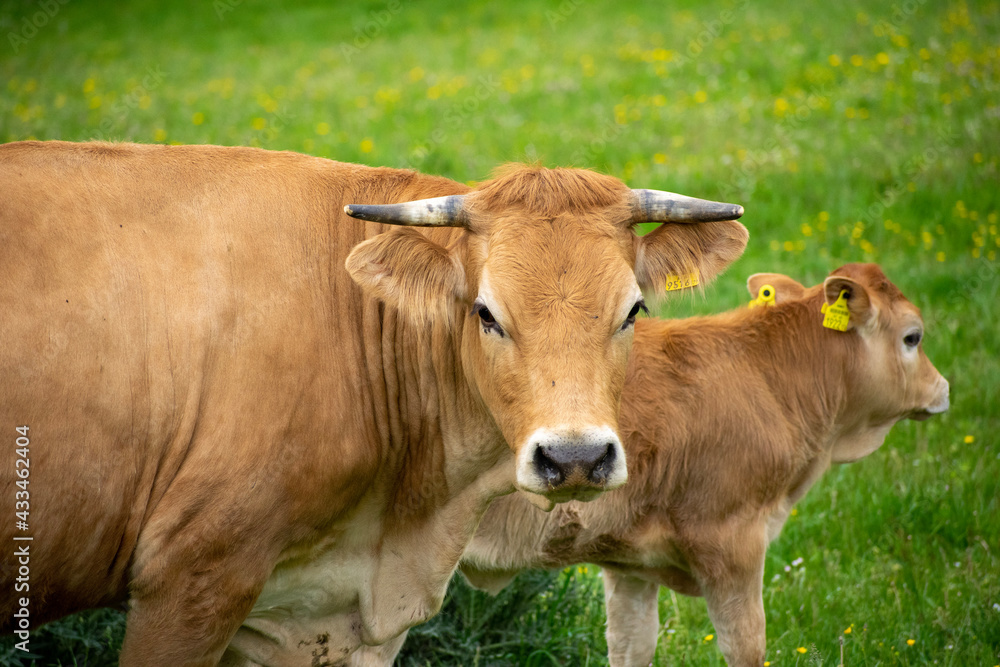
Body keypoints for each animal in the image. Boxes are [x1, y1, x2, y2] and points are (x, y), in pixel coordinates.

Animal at [358, 264, 944, 667]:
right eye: (913, 337)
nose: (943, 389)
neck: (768, 378)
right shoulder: (735, 546)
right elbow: (745, 645)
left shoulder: (629, 567)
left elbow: (631, 645)